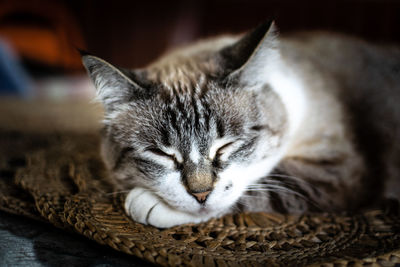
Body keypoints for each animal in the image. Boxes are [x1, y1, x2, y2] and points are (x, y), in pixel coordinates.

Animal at [81, 22, 400, 229]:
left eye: (226, 146)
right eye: (162, 154)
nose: (200, 194)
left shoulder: (338, 168)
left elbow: (268, 186)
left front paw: (148, 204)